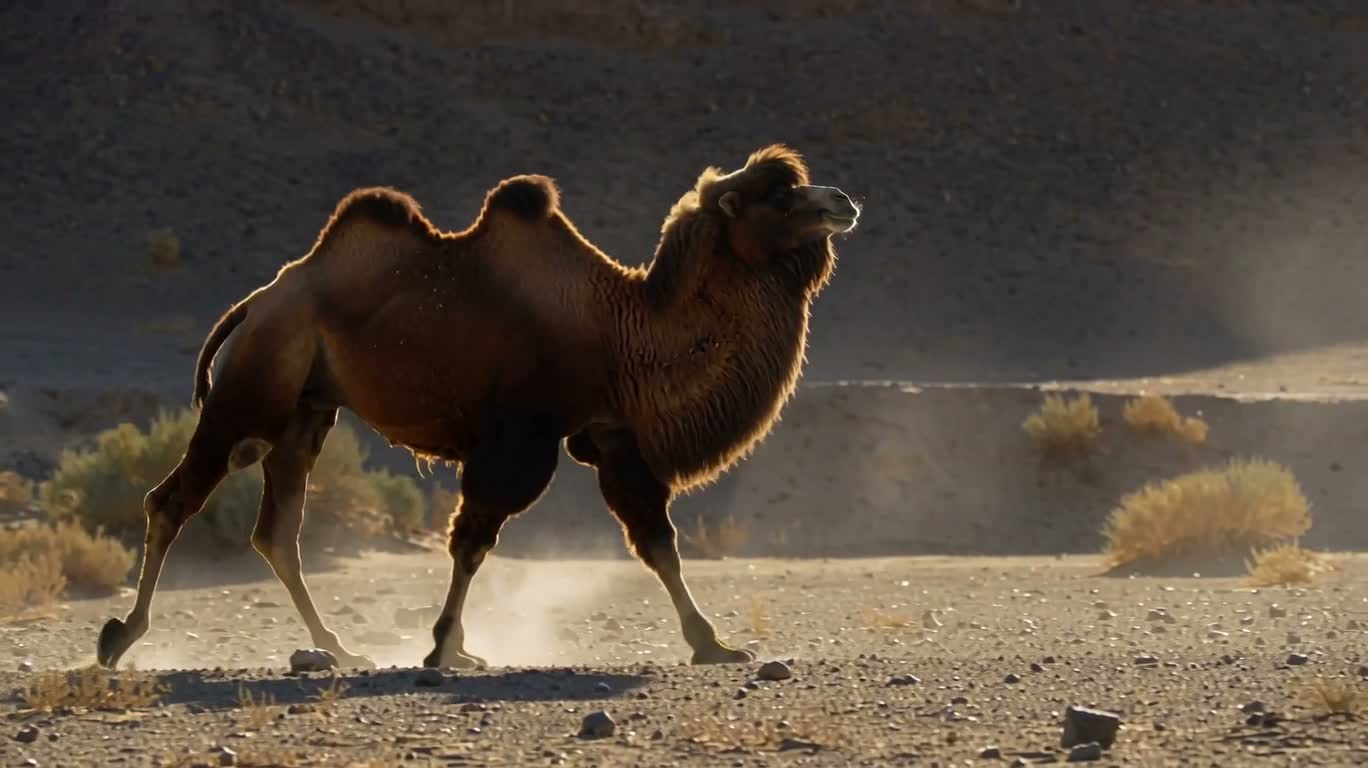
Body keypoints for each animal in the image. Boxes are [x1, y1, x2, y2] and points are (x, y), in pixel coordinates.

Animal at [95, 144, 861, 671]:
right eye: (777, 195)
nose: (844, 200)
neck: (618, 330)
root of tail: (258, 300)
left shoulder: (613, 433)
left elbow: (656, 543)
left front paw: (713, 644)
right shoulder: (518, 439)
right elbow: (473, 538)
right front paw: (442, 647)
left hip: (307, 411)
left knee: (277, 532)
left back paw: (339, 649)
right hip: (255, 388)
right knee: (174, 499)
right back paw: (119, 637)